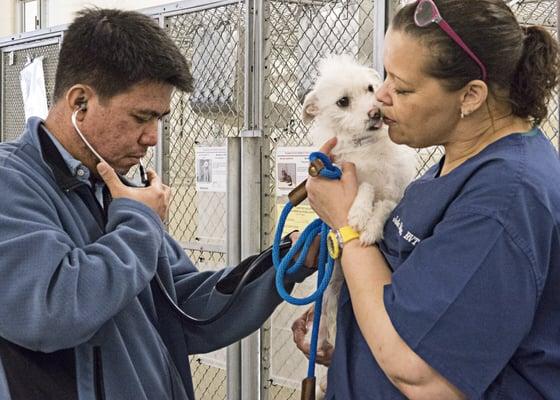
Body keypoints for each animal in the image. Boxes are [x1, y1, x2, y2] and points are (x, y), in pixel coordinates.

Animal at [302, 54, 416, 396]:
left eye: (370, 89)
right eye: (343, 102)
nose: (375, 112)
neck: (367, 146)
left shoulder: (395, 191)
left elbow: (384, 206)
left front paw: (370, 227)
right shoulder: (350, 171)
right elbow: (363, 187)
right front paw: (357, 213)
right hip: (326, 296)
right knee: (324, 333)